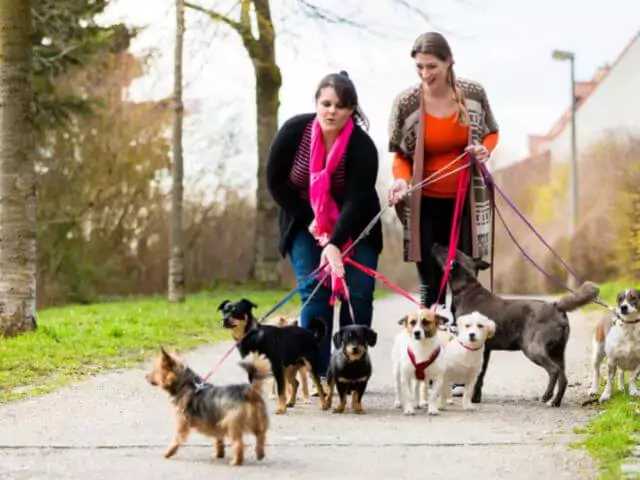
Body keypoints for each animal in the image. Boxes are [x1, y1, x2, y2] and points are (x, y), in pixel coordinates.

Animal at [430, 242, 600, 406]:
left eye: (447, 248)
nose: (434, 244)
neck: (467, 288)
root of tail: (556, 306)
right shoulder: (486, 350)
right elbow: (480, 376)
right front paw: (475, 398)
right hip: (558, 351)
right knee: (563, 378)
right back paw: (556, 402)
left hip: (533, 348)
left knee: (554, 371)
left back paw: (546, 396)